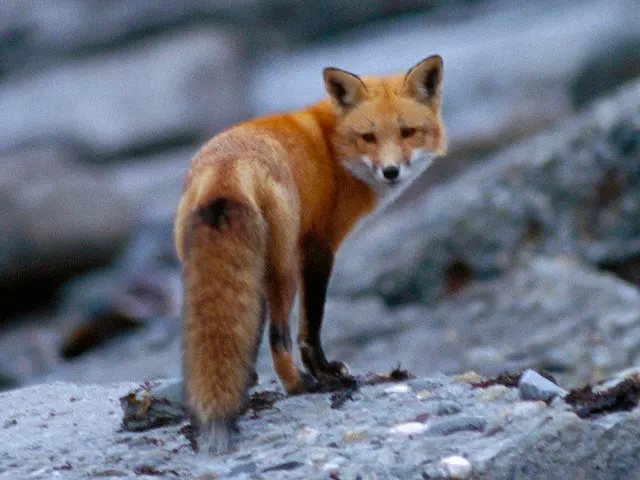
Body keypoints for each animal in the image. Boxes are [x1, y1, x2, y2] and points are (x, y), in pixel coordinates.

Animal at [174, 55, 446, 454]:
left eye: (408, 132)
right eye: (368, 137)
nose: (391, 171)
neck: (333, 151)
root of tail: (227, 164)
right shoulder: (318, 247)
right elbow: (310, 325)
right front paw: (325, 371)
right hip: (282, 269)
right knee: (278, 337)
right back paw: (298, 385)